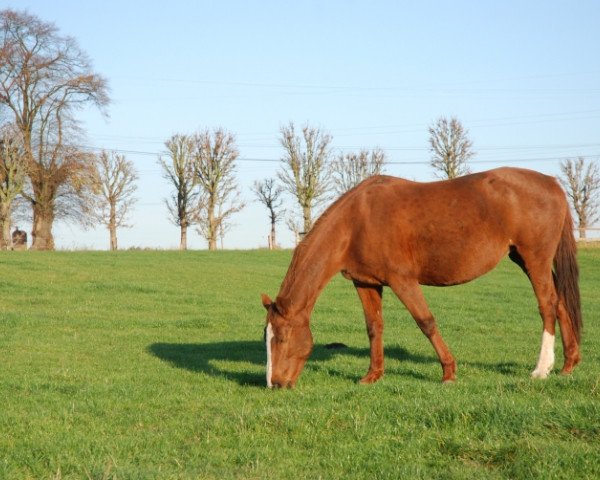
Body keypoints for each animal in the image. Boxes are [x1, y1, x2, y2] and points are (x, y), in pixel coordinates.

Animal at [262, 167, 580, 388]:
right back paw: (568, 365)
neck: (356, 222)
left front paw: (448, 373)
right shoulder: (366, 282)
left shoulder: (402, 280)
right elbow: (374, 327)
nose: (274, 384)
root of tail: (552, 182)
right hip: (524, 259)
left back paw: (541, 369)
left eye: (282, 338)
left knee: (547, 305)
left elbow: (426, 322)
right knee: (560, 303)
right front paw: (372, 375)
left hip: (535, 259)